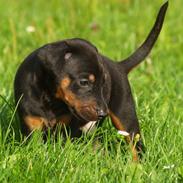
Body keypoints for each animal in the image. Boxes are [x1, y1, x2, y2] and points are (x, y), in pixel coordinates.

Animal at [14, 2, 169, 160]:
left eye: (103, 84)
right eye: (84, 82)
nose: (103, 113)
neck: (51, 98)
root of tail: (119, 65)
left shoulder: (66, 128)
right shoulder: (32, 127)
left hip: (125, 114)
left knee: (135, 145)